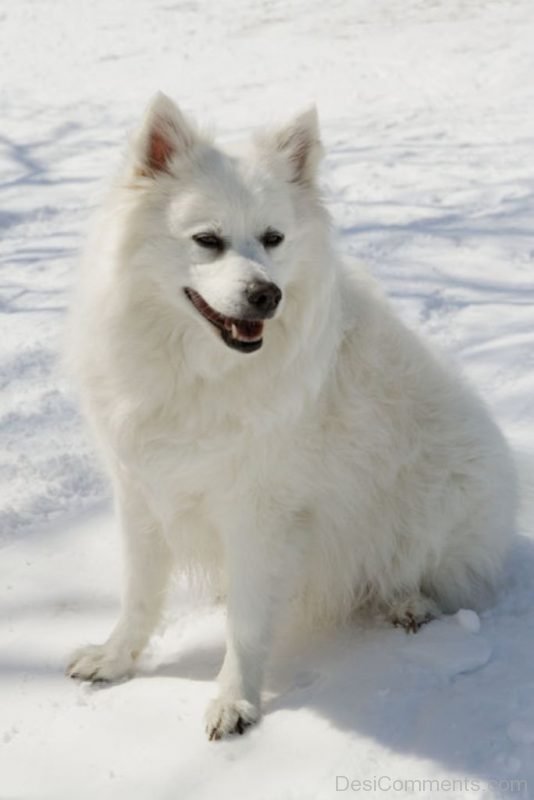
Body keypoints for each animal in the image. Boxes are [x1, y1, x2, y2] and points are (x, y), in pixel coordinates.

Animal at [67, 92, 520, 736]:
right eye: (207, 240)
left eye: (273, 238)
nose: (267, 295)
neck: (202, 373)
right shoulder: (143, 493)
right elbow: (139, 595)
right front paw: (114, 661)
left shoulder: (260, 514)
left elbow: (247, 625)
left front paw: (236, 703)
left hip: (443, 496)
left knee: (433, 574)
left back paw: (410, 603)